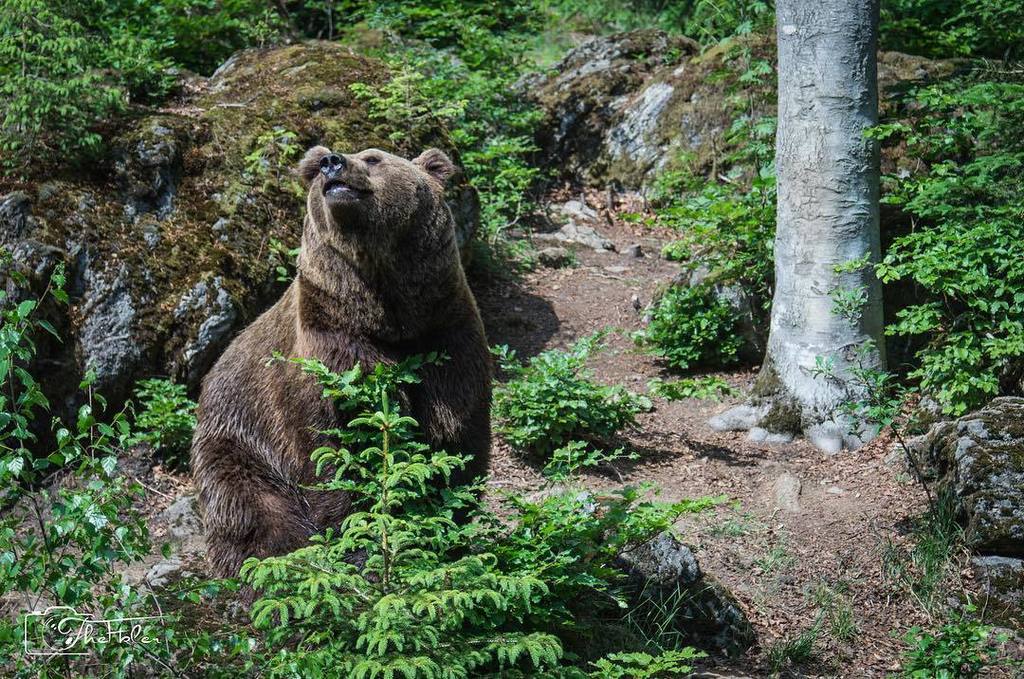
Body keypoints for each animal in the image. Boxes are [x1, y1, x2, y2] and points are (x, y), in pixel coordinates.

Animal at [190, 145, 492, 577]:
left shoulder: (445, 335)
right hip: (240, 443)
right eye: (319, 165)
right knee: (252, 513)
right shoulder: (329, 351)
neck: (387, 314)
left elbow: (455, 434)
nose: (332, 162)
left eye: (374, 158)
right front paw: (359, 545)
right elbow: (334, 453)